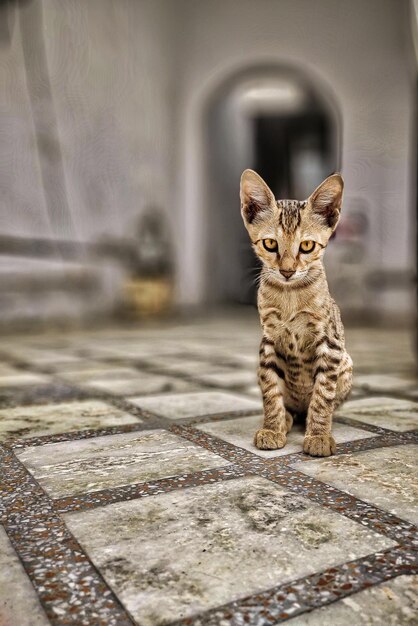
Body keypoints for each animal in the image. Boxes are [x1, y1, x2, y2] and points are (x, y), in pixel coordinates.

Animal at [240, 168, 352, 456]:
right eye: (270, 243)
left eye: (307, 246)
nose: (287, 271)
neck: (289, 295)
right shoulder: (268, 341)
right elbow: (270, 390)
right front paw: (272, 427)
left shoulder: (330, 343)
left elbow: (323, 395)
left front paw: (319, 435)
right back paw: (287, 418)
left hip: (347, 364)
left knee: (321, 403)